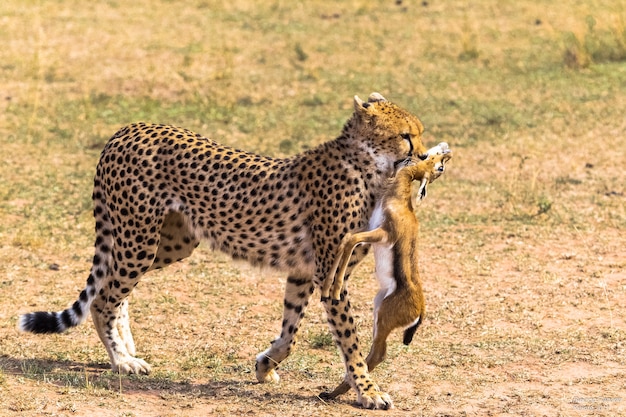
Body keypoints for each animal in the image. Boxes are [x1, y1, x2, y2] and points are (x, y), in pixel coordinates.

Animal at [22, 92, 434, 408]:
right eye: (406, 136)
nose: (425, 156)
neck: (365, 165)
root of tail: (131, 127)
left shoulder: (304, 272)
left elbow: (290, 331)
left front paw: (265, 364)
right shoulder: (330, 276)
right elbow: (350, 341)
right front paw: (369, 392)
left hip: (168, 243)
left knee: (111, 289)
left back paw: (126, 348)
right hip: (139, 239)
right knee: (103, 298)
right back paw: (122, 360)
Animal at [320, 142, 450, 400]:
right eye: (440, 165)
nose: (447, 150)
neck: (400, 198)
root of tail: (421, 310)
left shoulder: (382, 233)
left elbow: (349, 240)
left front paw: (334, 288)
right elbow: (346, 239)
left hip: (382, 319)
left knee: (379, 353)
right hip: (378, 309)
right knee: (373, 353)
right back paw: (334, 392)